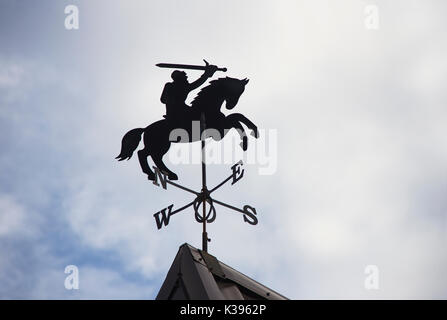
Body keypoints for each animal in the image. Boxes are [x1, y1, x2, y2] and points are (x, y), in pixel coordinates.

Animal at [115, 77, 260, 180]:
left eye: (241, 91)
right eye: (237, 90)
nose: (230, 106)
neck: (206, 107)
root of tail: (145, 129)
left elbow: (237, 117)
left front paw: (252, 132)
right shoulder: (219, 131)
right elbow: (236, 118)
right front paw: (247, 140)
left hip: (158, 145)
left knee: (150, 155)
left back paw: (162, 174)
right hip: (160, 145)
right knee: (146, 155)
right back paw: (159, 174)